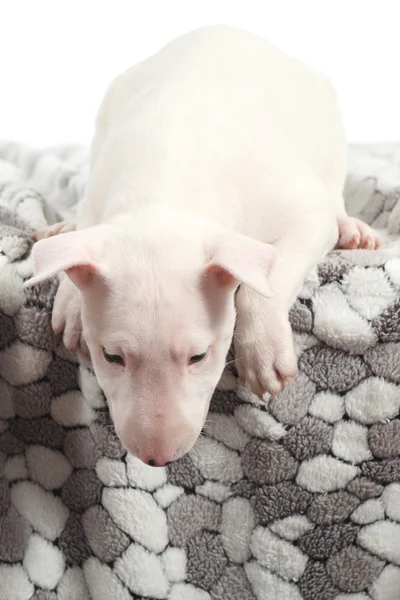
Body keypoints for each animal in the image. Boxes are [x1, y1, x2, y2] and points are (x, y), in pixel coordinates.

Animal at [27, 25, 378, 466]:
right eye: (112, 357)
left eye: (198, 357)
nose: (157, 460)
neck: (168, 185)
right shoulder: (97, 196)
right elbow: (87, 231)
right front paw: (73, 302)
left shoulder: (303, 213)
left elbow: (271, 274)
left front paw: (261, 351)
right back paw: (58, 230)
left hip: (328, 130)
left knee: (334, 193)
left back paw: (353, 229)